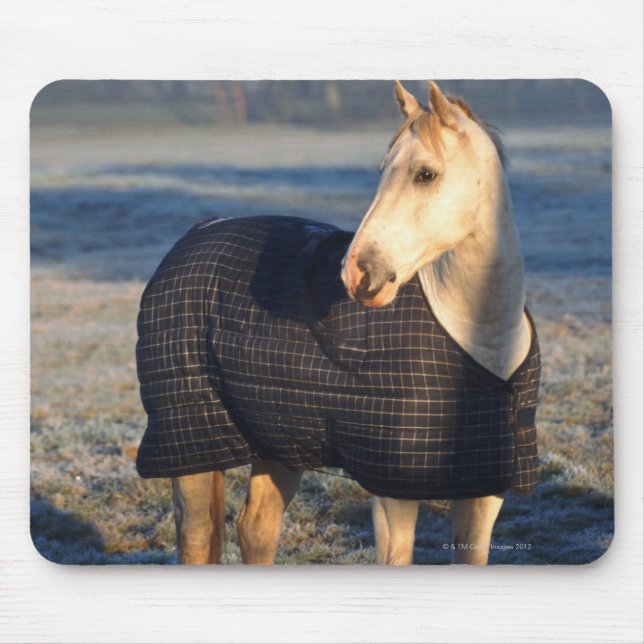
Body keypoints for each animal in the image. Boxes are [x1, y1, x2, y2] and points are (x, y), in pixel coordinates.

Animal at [135, 80, 540, 565]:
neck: (480, 340)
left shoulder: (485, 485)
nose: (357, 273)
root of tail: (197, 234)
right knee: (197, 538)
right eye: (383, 170)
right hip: (192, 447)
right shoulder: (391, 493)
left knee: (256, 528)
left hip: (278, 439)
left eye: (425, 174)